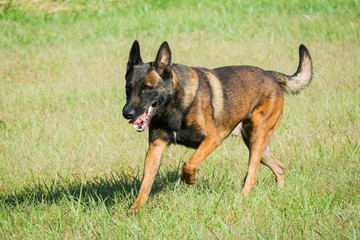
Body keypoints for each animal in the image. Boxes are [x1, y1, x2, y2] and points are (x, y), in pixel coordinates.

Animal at [122, 40, 310, 215]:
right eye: (128, 89)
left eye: (147, 89)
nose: (126, 113)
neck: (174, 102)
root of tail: (269, 74)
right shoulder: (156, 148)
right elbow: (145, 184)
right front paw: (135, 210)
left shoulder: (212, 139)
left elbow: (189, 164)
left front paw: (191, 179)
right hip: (256, 144)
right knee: (279, 167)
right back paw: (280, 193)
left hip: (257, 139)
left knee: (252, 175)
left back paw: (240, 200)